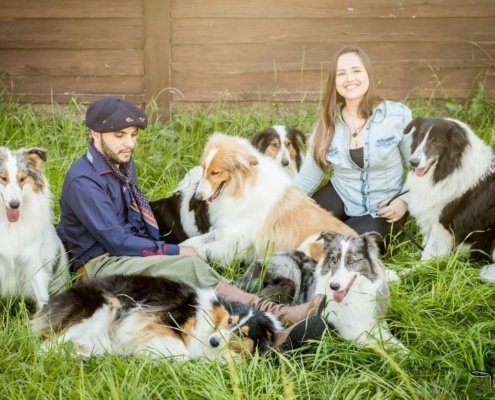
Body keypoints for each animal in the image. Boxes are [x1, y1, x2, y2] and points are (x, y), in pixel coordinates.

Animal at [32, 274, 282, 360]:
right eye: (230, 321)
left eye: (242, 335)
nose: (213, 341)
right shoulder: (154, 317)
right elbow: (183, 353)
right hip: (102, 307)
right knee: (46, 346)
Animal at [182, 134, 356, 266]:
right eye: (203, 169)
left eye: (215, 173)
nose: (197, 196)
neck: (241, 188)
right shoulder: (223, 230)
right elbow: (194, 241)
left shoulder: (234, 239)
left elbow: (204, 248)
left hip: (312, 243)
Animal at [240, 231, 406, 350]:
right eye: (333, 260)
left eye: (351, 261)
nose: (334, 286)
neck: (351, 298)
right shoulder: (351, 333)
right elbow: (380, 347)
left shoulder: (375, 322)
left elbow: (393, 342)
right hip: (289, 273)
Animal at [404, 117, 495, 282]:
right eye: (420, 137)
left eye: (435, 141)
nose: (413, 162)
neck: (447, 170)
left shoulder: (442, 225)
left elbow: (429, 254)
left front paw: (408, 271)